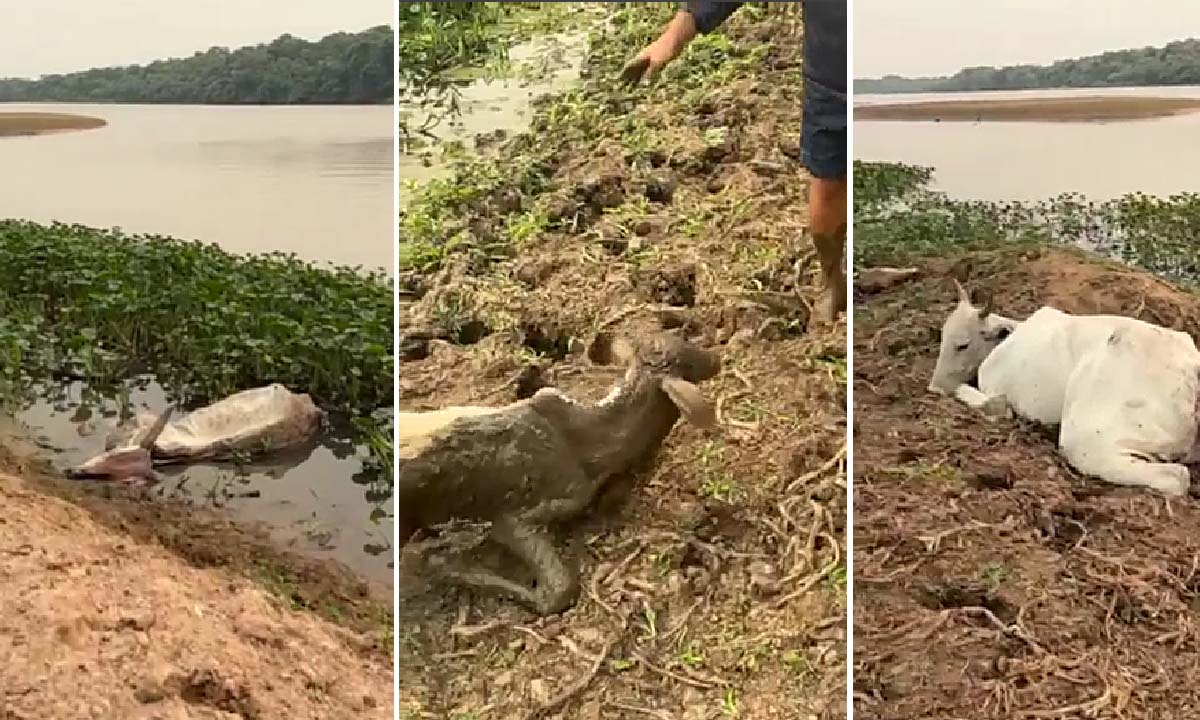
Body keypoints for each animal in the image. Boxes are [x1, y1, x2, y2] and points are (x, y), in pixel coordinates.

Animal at [926, 279, 1200, 494]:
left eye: (962, 345)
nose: (934, 387)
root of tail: (1192, 368)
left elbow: (990, 403)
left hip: (1086, 439)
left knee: (1176, 476)